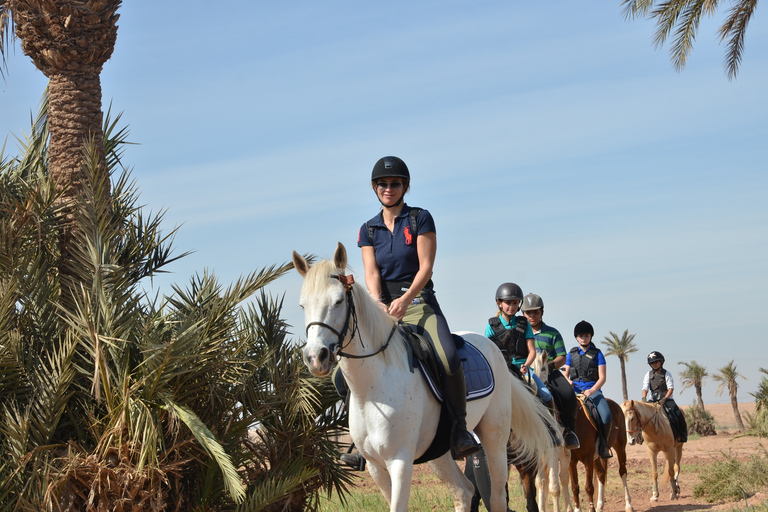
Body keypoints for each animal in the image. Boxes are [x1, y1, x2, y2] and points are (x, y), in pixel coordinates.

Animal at [292, 245, 552, 512]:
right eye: (303, 306)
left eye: (338, 301)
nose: (315, 357)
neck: (372, 388)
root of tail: (495, 349)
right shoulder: (375, 466)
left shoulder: (400, 461)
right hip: (440, 451)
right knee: (464, 491)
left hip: (494, 437)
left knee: (496, 497)